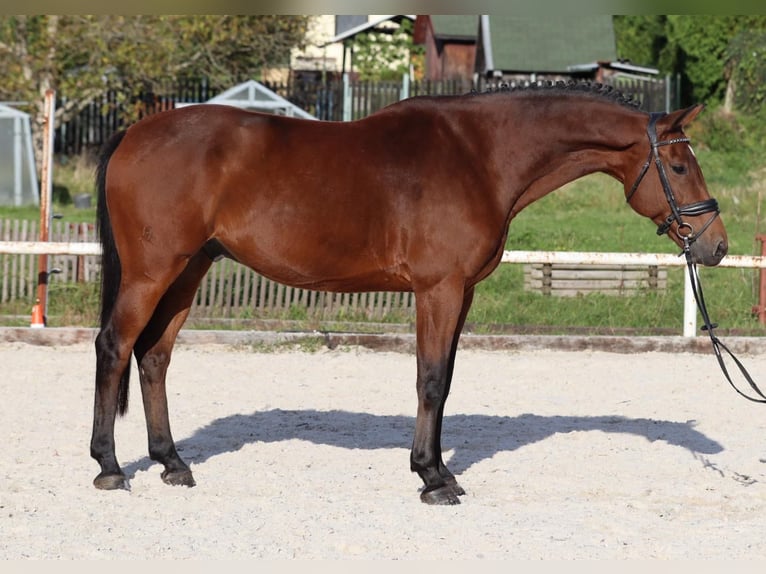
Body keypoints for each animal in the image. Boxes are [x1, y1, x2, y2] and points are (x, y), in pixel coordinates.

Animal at [90, 80, 728, 504]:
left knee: (154, 357)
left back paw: (172, 463)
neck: (478, 156)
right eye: (677, 166)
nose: (716, 246)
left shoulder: (462, 293)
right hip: (153, 271)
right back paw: (110, 467)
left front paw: (438, 471)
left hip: (189, 270)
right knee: (114, 348)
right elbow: (430, 379)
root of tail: (134, 133)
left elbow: (444, 380)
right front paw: (431, 477)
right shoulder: (438, 289)